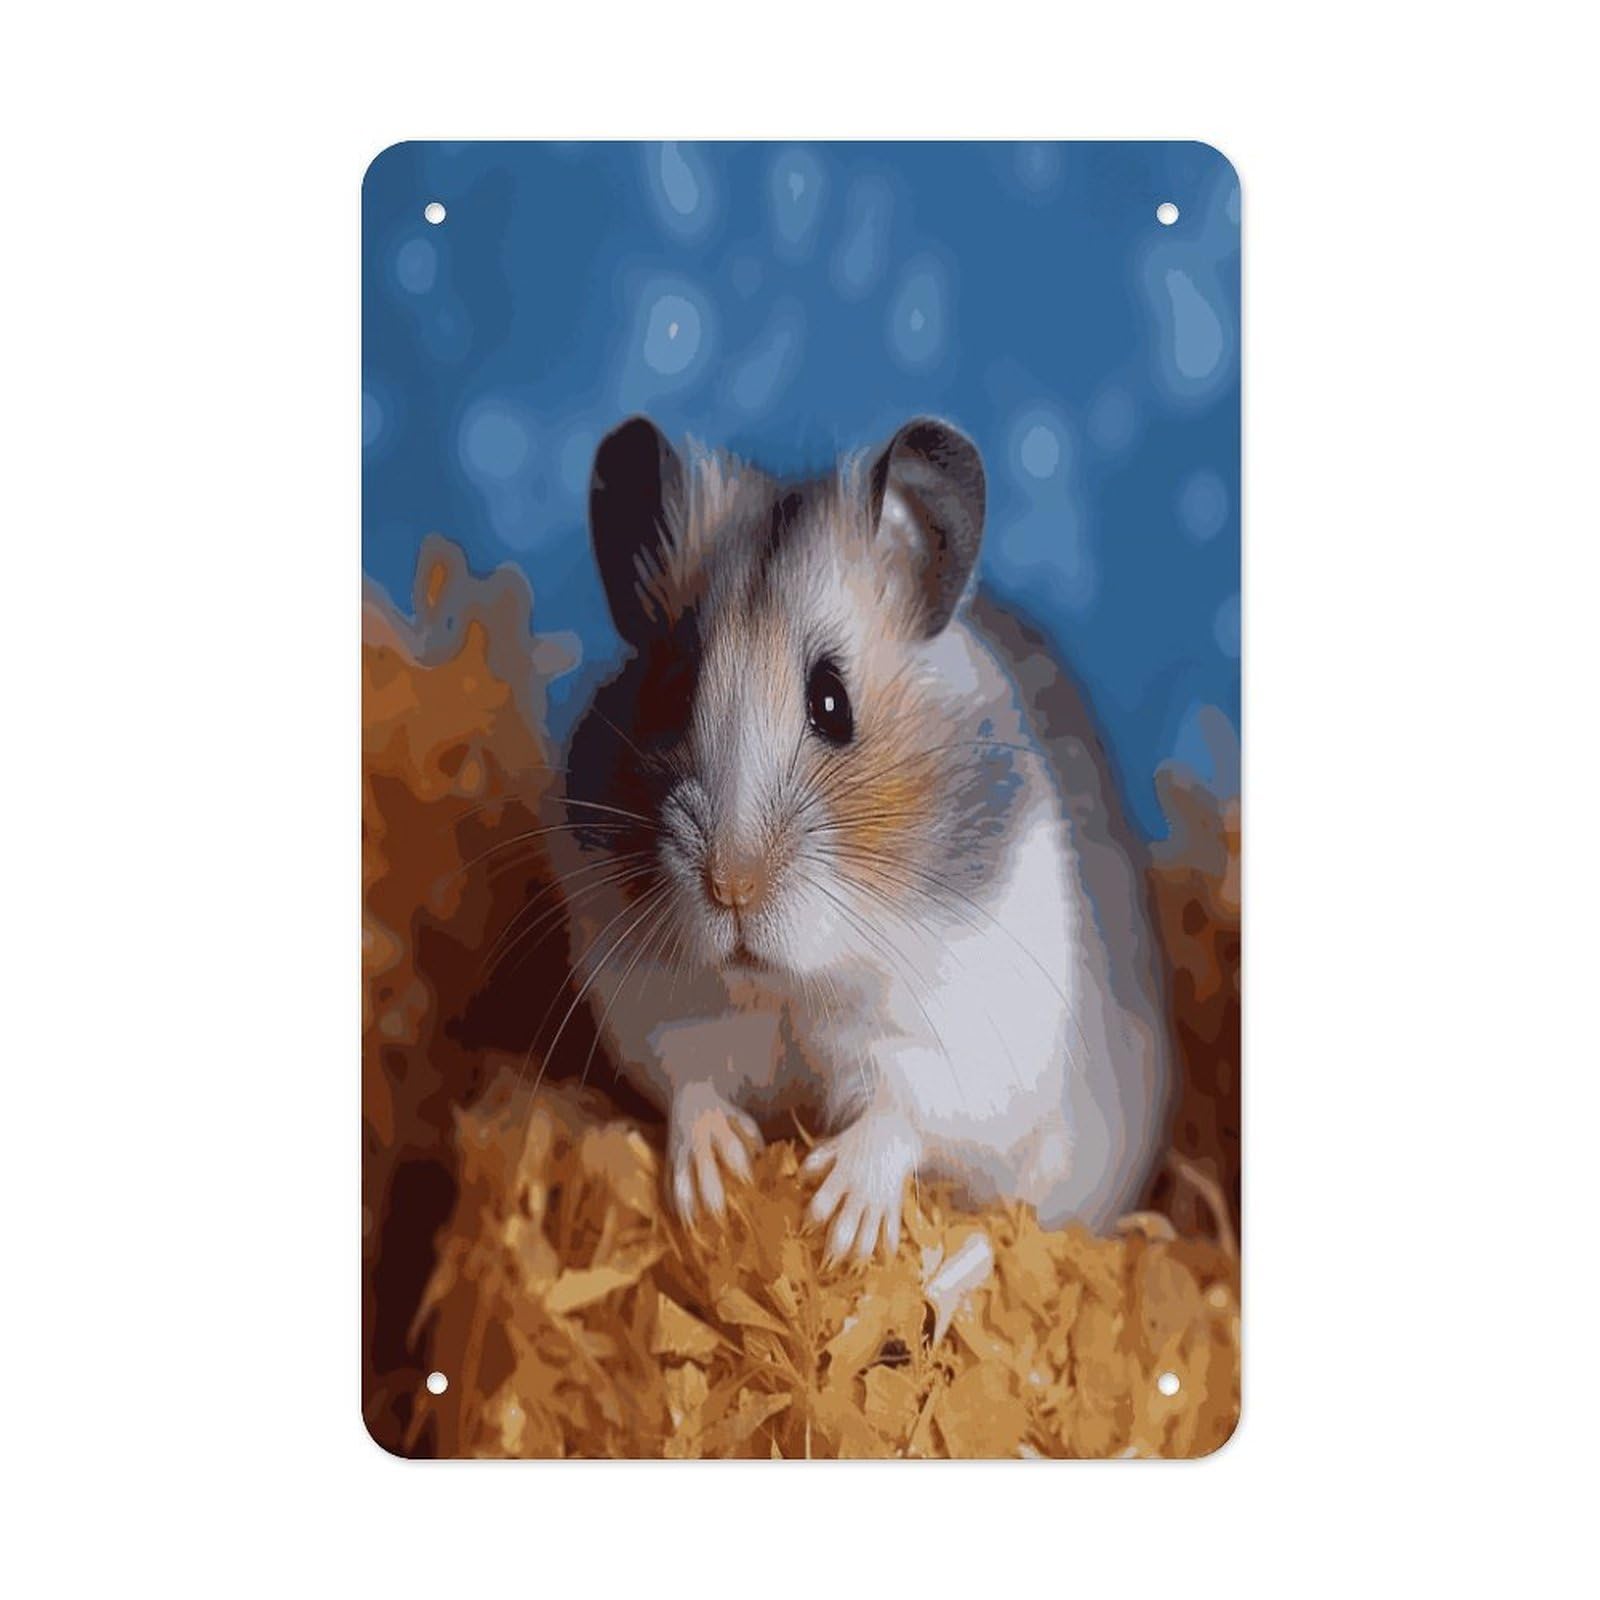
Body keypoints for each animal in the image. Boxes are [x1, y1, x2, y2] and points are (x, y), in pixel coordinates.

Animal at [547, 414, 1171, 1262]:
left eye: (831, 703)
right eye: (672, 695)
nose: (731, 888)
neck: (799, 983)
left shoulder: (969, 1035)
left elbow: (904, 1111)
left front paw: (837, 1221)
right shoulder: (651, 995)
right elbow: (690, 1078)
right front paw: (715, 1188)